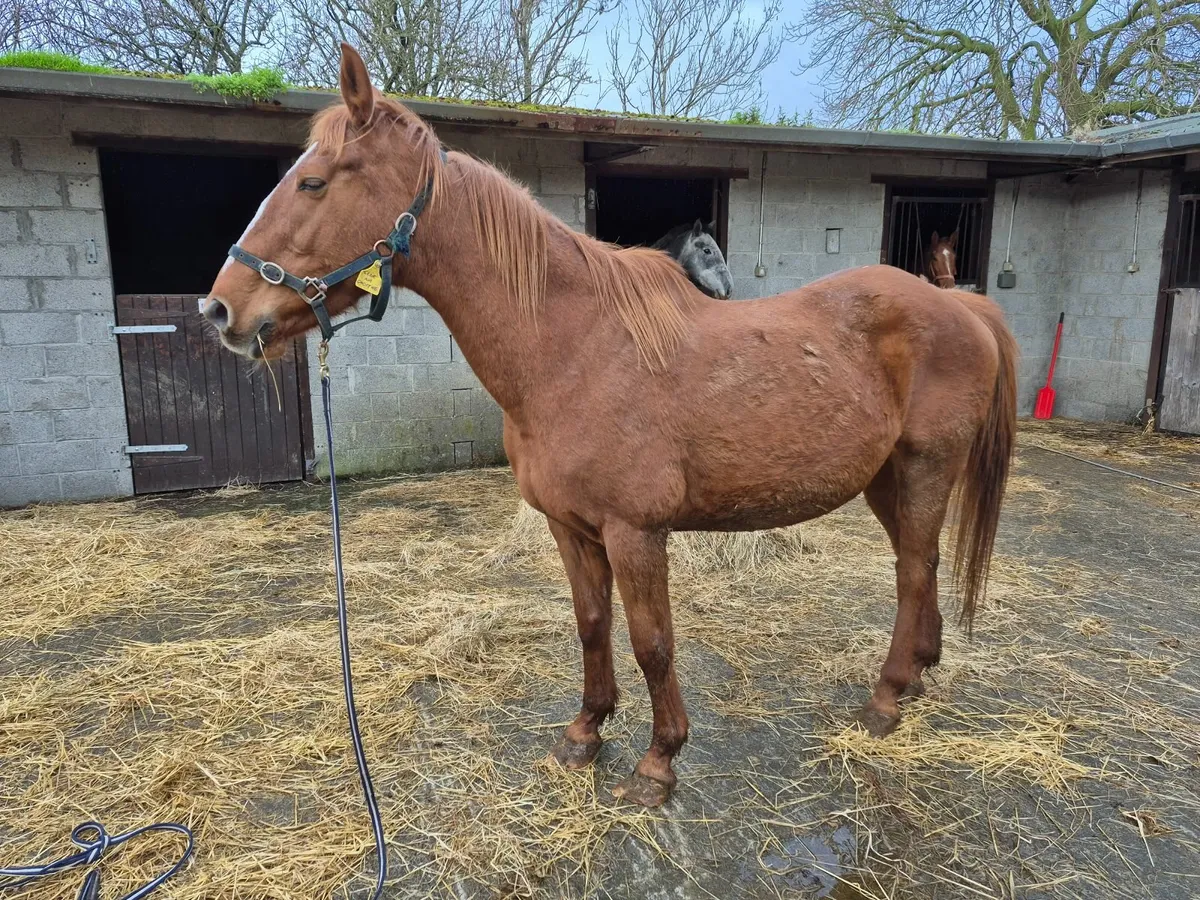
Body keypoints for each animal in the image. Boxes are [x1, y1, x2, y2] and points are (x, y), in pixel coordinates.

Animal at [204, 44, 1017, 808]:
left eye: (314, 182)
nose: (222, 311)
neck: (575, 348)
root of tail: (957, 304)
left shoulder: (636, 532)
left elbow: (653, 643)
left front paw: (659, 763)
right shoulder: (571, 527)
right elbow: (593, 625)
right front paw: (585, 733)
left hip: (923, 468)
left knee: (914, 570)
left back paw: (885, 699)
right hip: (885, 479)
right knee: (920, 566)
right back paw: (916, 677)